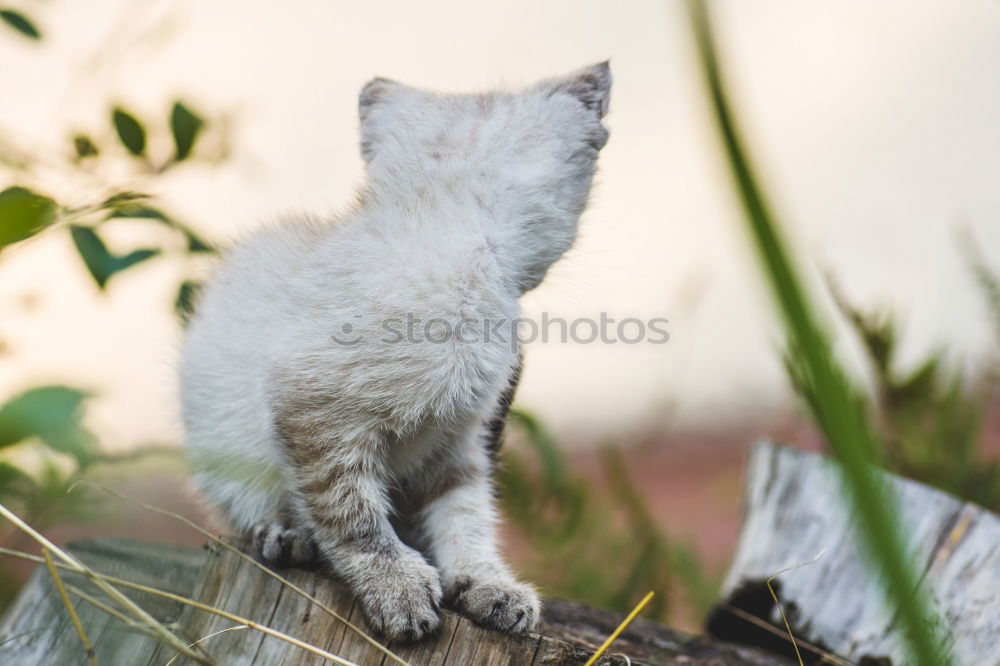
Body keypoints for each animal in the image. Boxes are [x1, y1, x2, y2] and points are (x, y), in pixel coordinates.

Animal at [184, 61, 612, 640]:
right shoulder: (313, 411)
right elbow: (354, 515)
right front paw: (397, 589)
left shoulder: (462, 438)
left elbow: (466, 515)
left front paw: (487, 583)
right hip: (220, 441)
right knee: (251, 502)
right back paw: (283, 535)